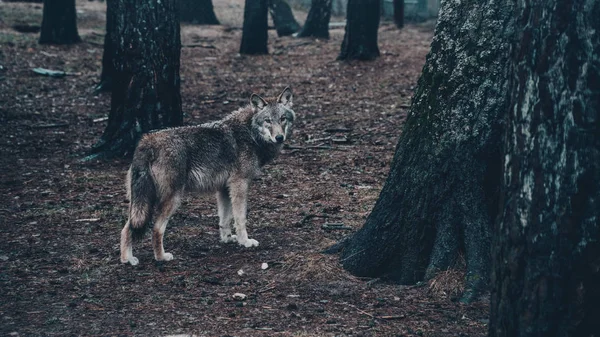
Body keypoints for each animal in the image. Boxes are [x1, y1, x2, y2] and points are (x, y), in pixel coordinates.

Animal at [120, 87, 296, 266]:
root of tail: (146, 142)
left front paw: (227, 239)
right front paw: (245, 241)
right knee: (156, 229)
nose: (279, 137)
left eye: (282, 119)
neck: (250, 133)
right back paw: (161, 257)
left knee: (127, 227)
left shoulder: (224, 189)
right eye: (268, 121)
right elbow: (240, 218)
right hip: (171, 199)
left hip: (141, 202)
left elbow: (224, 219)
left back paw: (127, 259)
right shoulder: (240, 184)